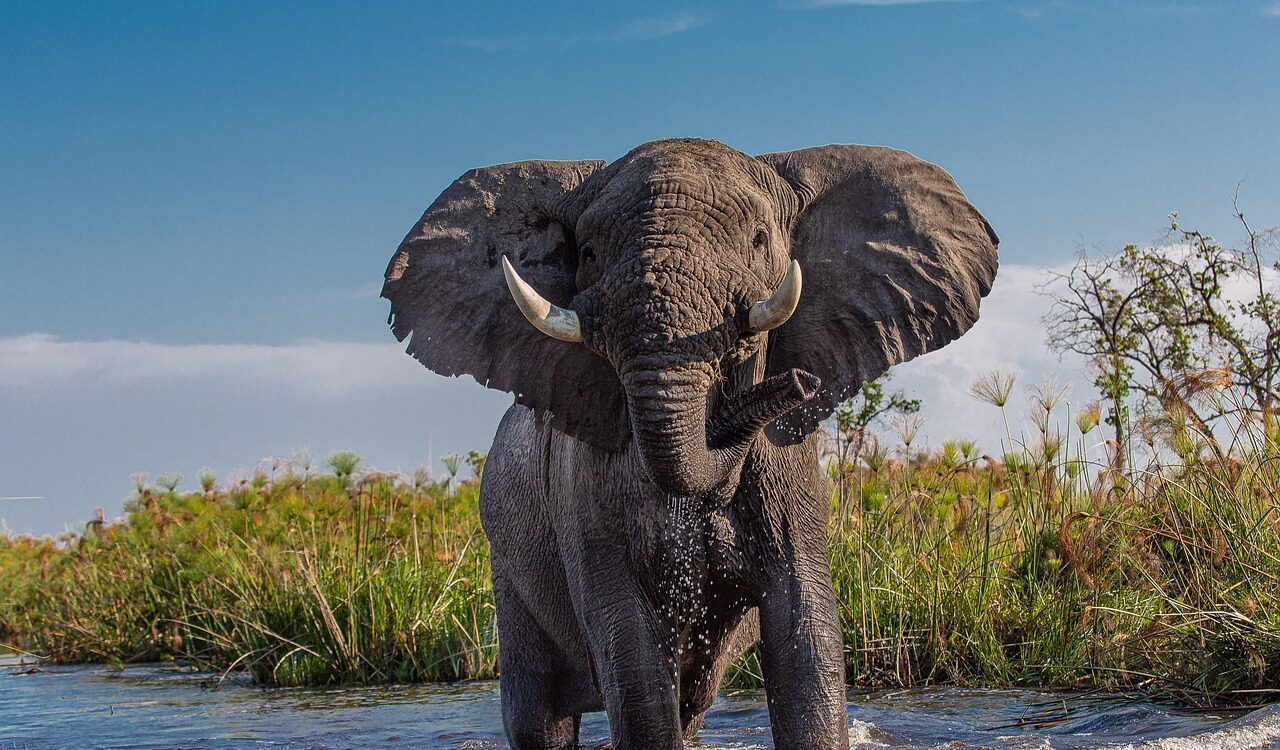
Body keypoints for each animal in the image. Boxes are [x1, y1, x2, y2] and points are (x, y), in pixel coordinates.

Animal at [381, 138, 998, 749]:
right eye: (588, 254)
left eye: (760, 241)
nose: (798, 383)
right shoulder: (585, 486)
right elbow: (631, 653)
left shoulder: (790, 473)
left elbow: (806, 633)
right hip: (507, 559)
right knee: (540, 716)